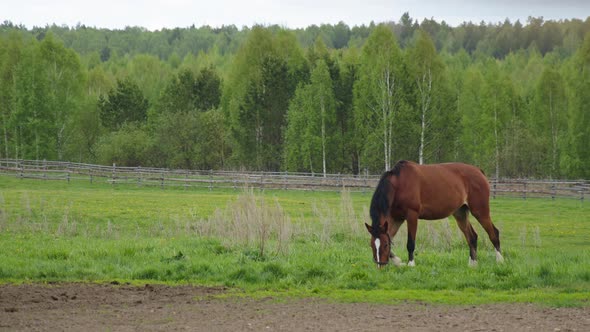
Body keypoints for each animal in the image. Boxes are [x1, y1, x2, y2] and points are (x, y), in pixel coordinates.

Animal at [366, 160, 504, 268]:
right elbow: (390, 236)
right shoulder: (397, 218)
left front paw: (411, 264)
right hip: (460, 213)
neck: (399, 184)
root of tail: (479, 171)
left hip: (480, 211)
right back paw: (473, 264)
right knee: (472, 237)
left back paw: (500, 261)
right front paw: (397, 261)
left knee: (493, 233)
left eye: (384, 245)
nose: (380, 265)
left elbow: (410, 242)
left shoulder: (411, 215)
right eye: (372, 245)